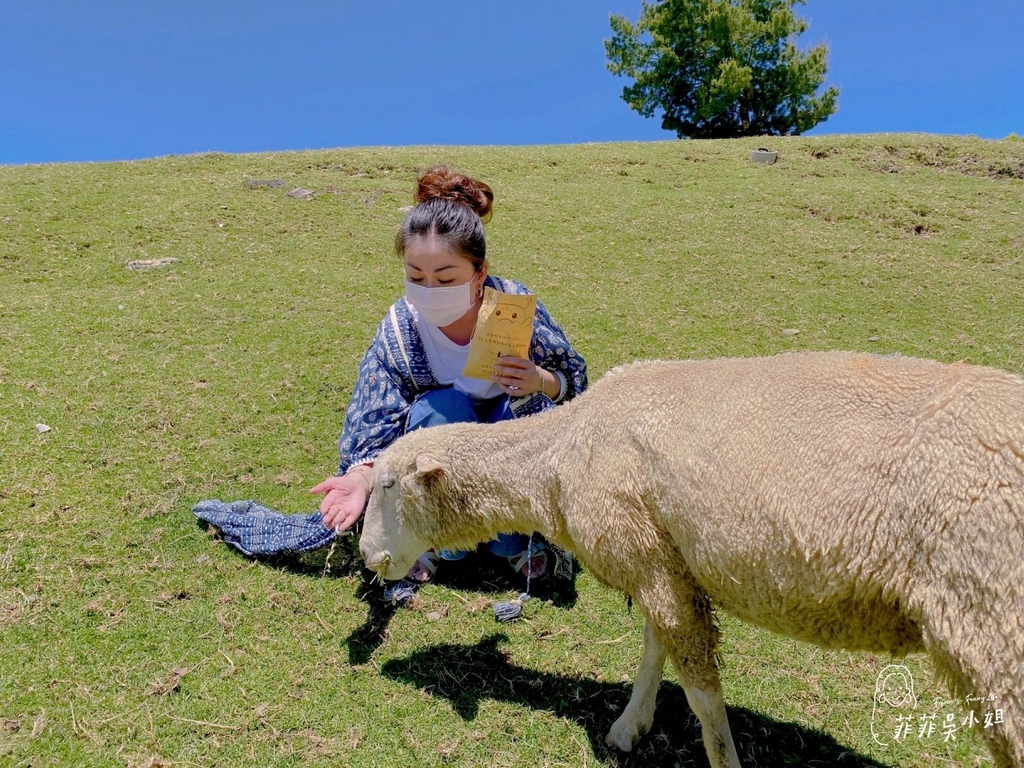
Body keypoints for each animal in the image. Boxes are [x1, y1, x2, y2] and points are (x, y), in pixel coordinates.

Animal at [358, 352, 1024, 765]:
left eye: (388, 485)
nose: (368, 555)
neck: (559, 460)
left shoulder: (649, 557)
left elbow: (702, 693)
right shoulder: (658, 557)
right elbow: (654, 651)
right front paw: (632, 726)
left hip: (997, 635)